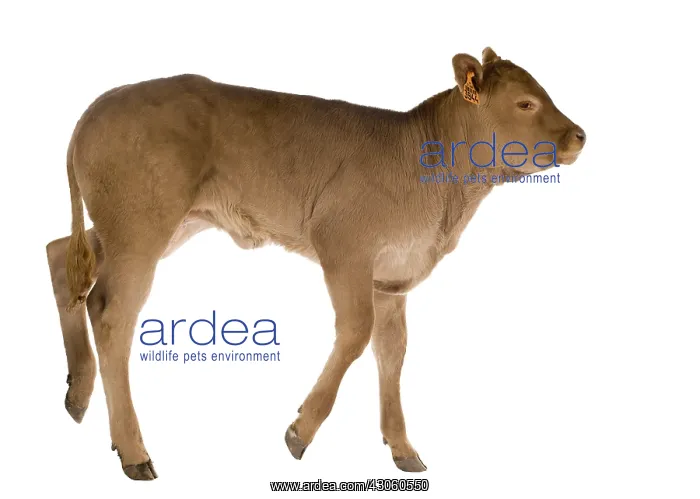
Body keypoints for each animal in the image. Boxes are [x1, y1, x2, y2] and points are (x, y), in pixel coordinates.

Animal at [46, 47, 585, 480]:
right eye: (526, 103)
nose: (579, 135)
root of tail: (98, 105)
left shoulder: (391, 273)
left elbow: (393, 352)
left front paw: (403, 448)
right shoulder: (343, 246)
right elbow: (355, 335)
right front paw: (299, 432)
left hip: (158, 225)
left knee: (60, 257)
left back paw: (77, 395)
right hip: (141, 226)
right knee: (112, 314)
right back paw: (134, 452)